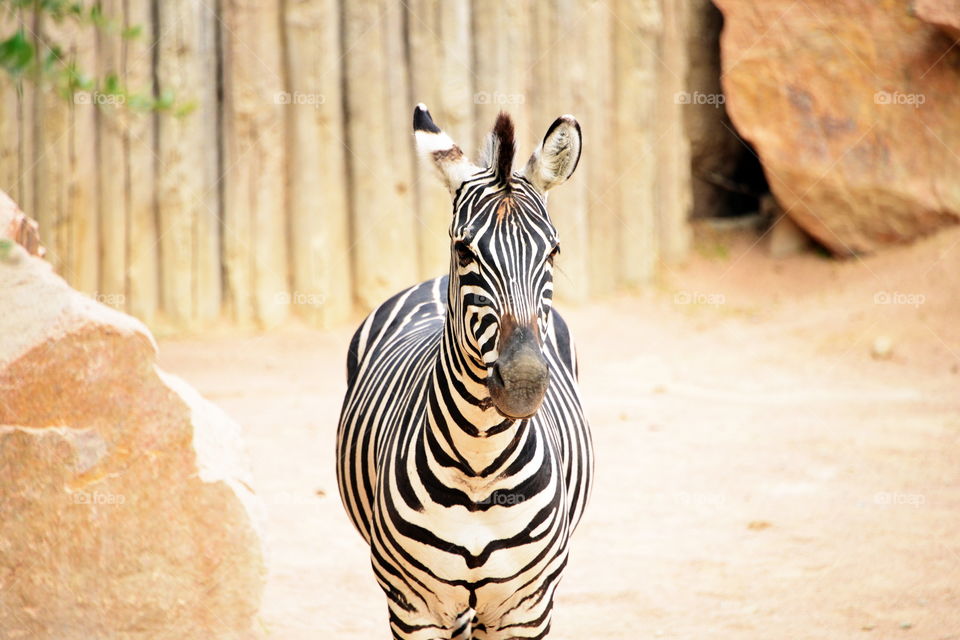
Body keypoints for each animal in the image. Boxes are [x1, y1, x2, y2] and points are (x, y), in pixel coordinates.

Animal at [337, 103, 593, 640]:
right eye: (464, 251)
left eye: (553, 251)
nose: (523, 383)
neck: (480, 464)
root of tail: (435, 283)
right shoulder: (414, 610)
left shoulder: (527, 610)